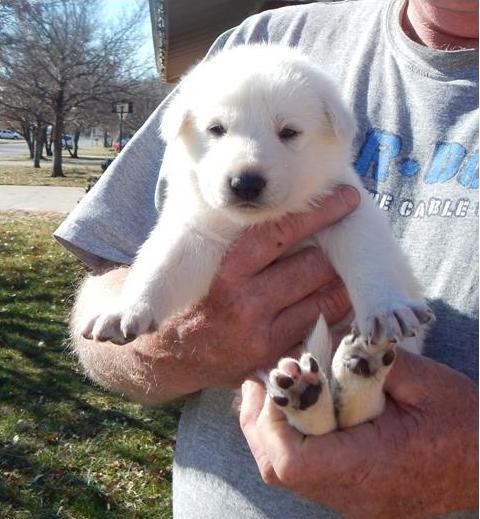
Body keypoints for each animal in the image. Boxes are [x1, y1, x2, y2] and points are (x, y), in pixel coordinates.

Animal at [82, 45, 436, 434]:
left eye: (288, 132)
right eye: (217, 129)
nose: (246, 183)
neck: (262, 220)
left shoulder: (350, 214)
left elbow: (369, 263)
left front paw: (386, 308)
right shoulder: (194, 230)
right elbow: (159, 268)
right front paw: (125, 309)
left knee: (358, 417)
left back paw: (361, 368)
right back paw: (305, 390)